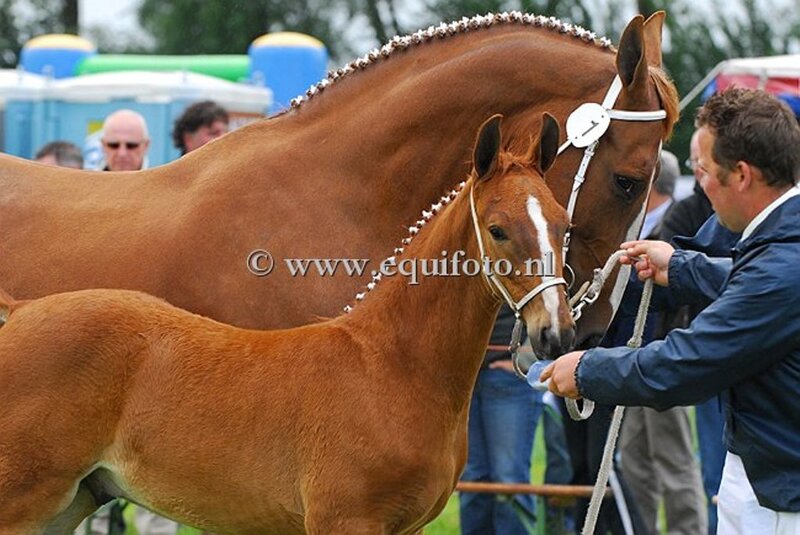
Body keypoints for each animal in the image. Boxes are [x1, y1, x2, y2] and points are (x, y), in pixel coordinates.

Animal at [0, 114, 573, 534]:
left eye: (564, 223)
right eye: (497, 229)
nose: (557, 334)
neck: (391, 365)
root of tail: (21, 309)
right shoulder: (345, 521)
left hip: (71, 502)